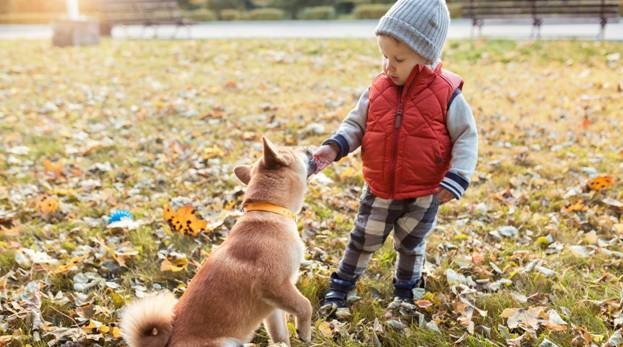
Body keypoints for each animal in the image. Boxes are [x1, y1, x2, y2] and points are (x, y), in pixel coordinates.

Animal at [120, 139, 316, 347]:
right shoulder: (273, 284)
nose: (309, 148)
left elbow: (280, 335)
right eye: (293, 150)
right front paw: (305, 332)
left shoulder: (274, 304)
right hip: (224, 343)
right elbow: (305, 305)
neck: (270, 210)